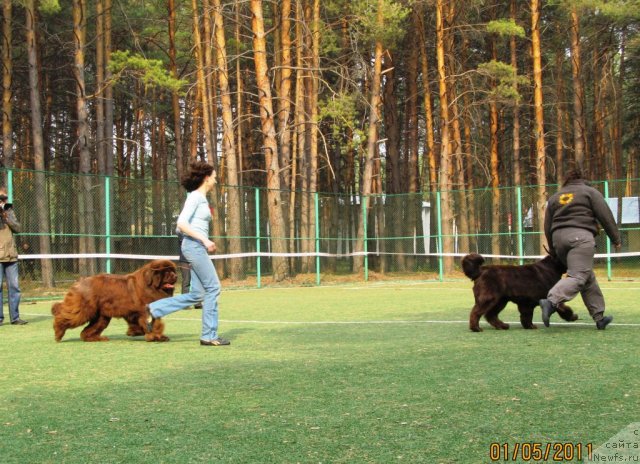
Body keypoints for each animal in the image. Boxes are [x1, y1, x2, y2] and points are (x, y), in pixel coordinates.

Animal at [50, 260, 178, 342]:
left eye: (173, 271)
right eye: (167, 272)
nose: (176, 276)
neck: (150, 285)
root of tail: (79, 281)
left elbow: (153, 324)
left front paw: (139, 333)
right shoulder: (144, 311)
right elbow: (149, 324)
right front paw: (153, 336)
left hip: (101, 317)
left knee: (87, 330)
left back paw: (96, 338)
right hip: (84, 310)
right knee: (64, 316)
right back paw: (58, 333)